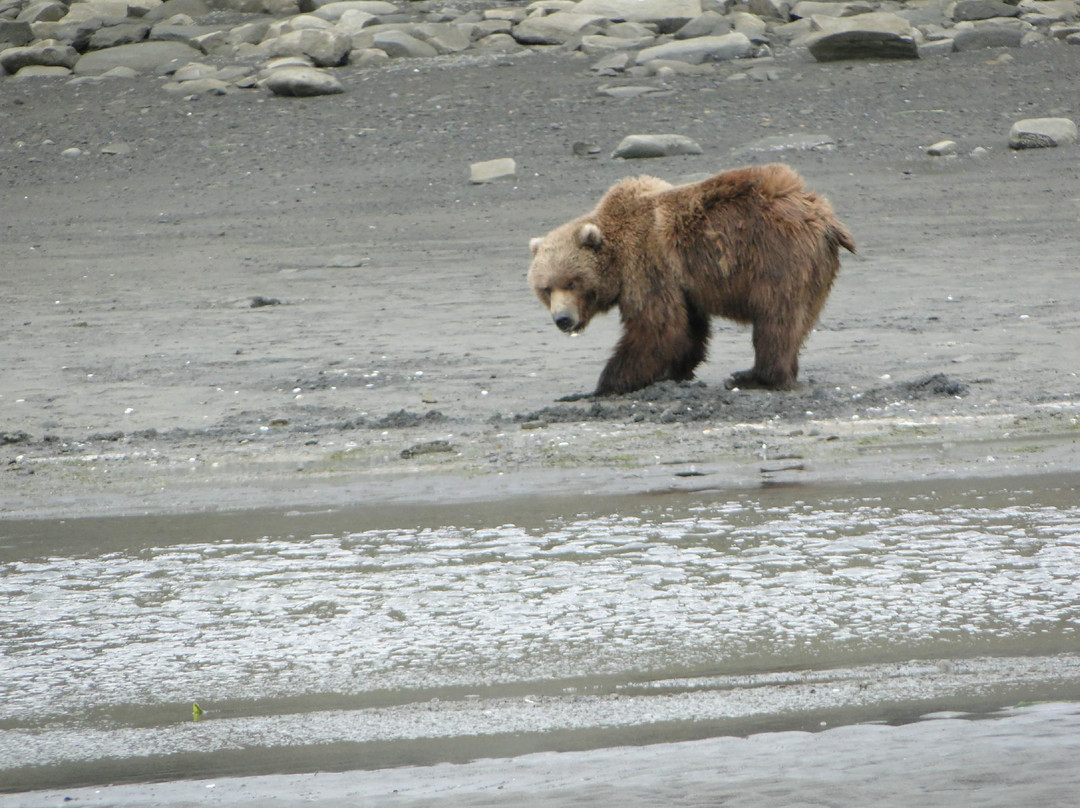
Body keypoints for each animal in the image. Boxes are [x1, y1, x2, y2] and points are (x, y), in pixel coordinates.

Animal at [527, 163, 855, 397]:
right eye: (545, 289)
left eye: (572, 282)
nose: (563, 319)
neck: (616, 255)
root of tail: (824, 215)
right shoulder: (681, 284)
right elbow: (687, 330)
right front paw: (675, 370)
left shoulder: (647, 265)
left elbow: (657, 327)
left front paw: (605, 384)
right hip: (816, 268)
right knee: (797, 321)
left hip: (776, 254)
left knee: (775, 318)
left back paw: (754, 376)